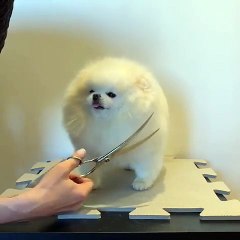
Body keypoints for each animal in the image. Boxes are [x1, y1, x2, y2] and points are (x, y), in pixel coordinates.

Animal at [63, 57, 169, 190]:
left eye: (111, 94)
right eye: (91, 91)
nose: (95, 96)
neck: (108, 122)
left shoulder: (146, 149)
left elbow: (146, 168)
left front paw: (142, 182)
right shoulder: (90, 149)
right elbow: (89, 167)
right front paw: (91, 181)